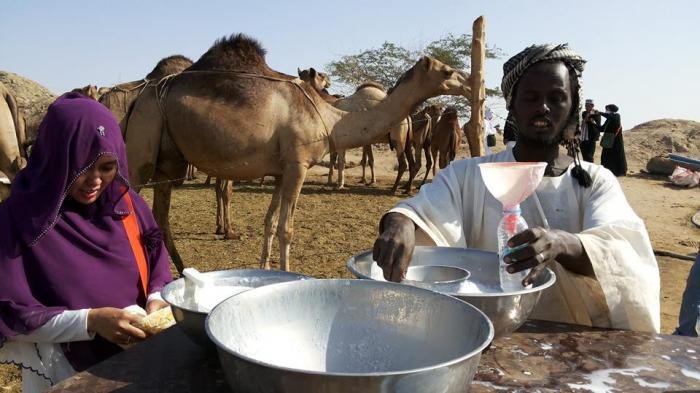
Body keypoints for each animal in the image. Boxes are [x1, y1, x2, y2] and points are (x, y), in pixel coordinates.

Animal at [126, 33, 476, 272]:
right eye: (446, 71)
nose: (470, 82)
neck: (331, 119)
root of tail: (138, 98)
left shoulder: (281, 170)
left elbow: (269, 223)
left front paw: (264, 270)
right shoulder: (298, 165)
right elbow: (286, 229)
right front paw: (286, 273)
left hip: (166, 162)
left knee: (159, 218)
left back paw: (181, 273)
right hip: (141, 149)